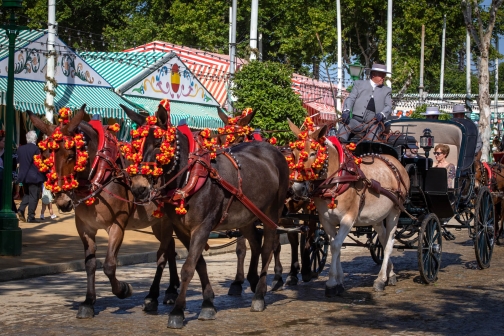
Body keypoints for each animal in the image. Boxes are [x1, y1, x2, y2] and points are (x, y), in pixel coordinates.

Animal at [28, 107, 180, 318]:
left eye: (71, 155)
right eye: (44, 155)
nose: (62, 201)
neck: (99, 174)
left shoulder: (117, 225)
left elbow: (109, 265)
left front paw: (123, 289)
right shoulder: (85, 228)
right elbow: (90, 264)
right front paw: (88, 302)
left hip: (165, 222)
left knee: (163, 255)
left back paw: (155, 296)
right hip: (158, 223)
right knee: (171, 248)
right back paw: (171, 290)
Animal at [119, 103, 290, 328]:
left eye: (159, 143)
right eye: (134, 144)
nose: (139, 188)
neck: (189, 176)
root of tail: (275, 151)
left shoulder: (203, 227)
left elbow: (187, 268)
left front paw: (177, 312)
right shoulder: (182, 230)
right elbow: (198, 263)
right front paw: (208, 303)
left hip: (272, 213)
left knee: (268, 249)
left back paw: (260, 295)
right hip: (246, 216)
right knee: (255, 243)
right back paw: (252, 281)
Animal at [288, 122, 410, 296]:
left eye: (313, 153)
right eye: (293, 153)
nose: (297, 188)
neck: (339, 179)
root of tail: (395, 161)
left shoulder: (348, 218)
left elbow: (335, 245)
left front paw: (331, 282)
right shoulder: (326, 220)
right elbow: (335, 245)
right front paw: (339, 281)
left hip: (395, 211)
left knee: (389, 243)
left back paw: (380, 279)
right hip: (377, 217)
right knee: (383, 238)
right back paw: (390, 273)